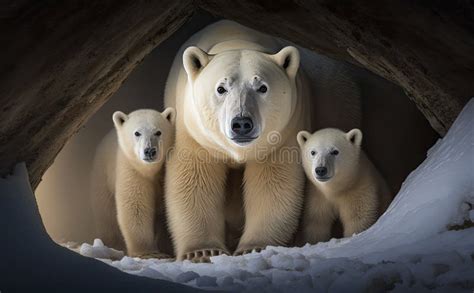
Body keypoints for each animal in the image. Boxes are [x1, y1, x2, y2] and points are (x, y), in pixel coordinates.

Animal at [90, 108, 175, 256]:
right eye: (137, 133)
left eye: (158, 132)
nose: (149, 151)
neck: (150, 171)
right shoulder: (131, 169)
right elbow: (135, 206)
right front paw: (146, 252)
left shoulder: (164, 172)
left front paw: (166, 248)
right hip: (102, 177)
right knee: (106, 215)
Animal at [163, 20, 362, 260]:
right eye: (221, 88)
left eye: (262, 87)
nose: (241, 123)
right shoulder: (194, 132)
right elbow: (194, 177)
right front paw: (203, 252)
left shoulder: (284, 131)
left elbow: (273, 181)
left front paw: (253, 247)